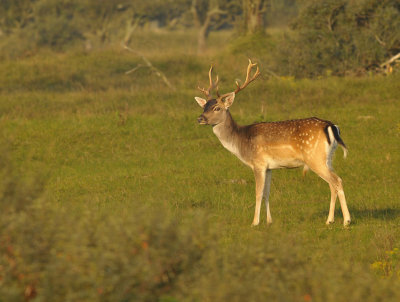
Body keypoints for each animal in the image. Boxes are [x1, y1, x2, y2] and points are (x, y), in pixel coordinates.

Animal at [194, 60, 350, 226]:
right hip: (328, 158)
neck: (242, 142)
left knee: (337, 181)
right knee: (332, 184)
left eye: (217, 108)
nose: (200, 118)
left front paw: (255, 222)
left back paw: (346, 221)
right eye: (204, 107)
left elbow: (258, 193)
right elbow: (266, 194)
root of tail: (331, 126)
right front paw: (269, 221)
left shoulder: (258, 163)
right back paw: (329, 220)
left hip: (314, 158)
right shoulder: (269, 168)